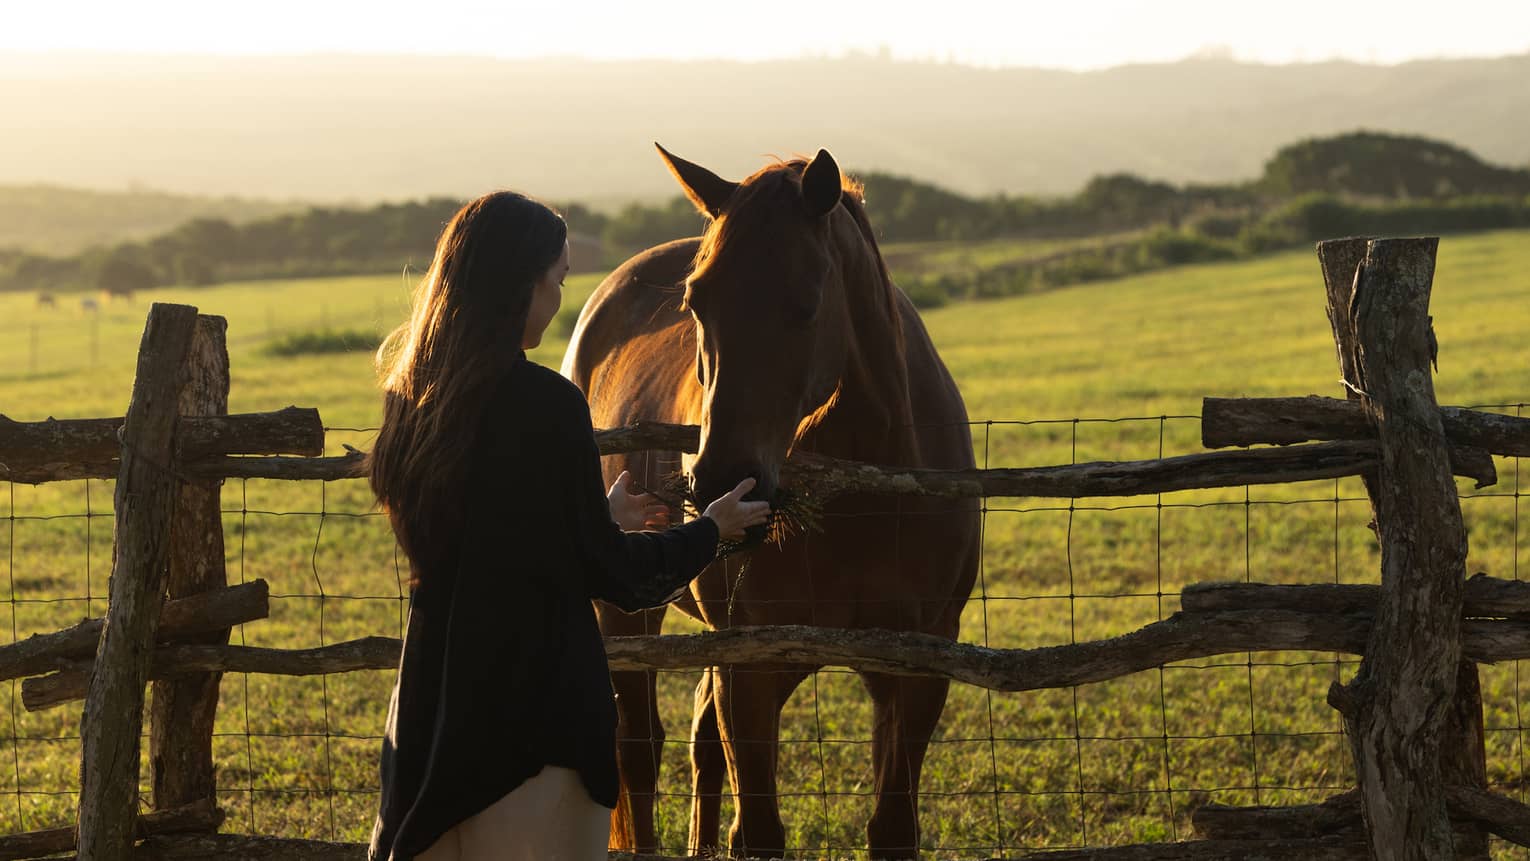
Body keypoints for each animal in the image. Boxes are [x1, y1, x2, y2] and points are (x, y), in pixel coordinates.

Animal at [561, 145, 980, 859]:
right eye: (696, 302)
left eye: (807, 305)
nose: (721, 482)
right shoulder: (751, 673)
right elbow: (757, 828)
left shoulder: (918, 667)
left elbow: (892, 827)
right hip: (625, 617)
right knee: (638, 754)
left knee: (699, 742)